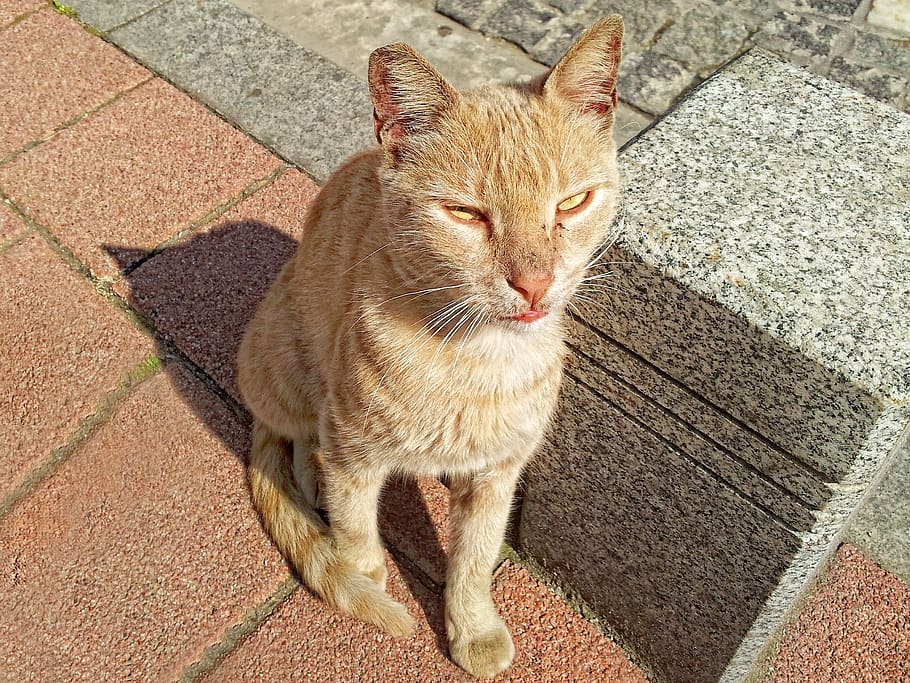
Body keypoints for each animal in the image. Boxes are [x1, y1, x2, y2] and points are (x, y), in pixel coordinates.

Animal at [237, 16, 628, 680]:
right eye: (466, 214)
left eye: (572, 203)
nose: (534, 284)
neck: (476, 360)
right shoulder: (354, 453)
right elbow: (357, 534)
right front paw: (360, 577)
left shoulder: (498, 473)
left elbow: (474, 559)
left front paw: (472, 629)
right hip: (286, 368)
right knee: (299, 439)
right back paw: (311, 484)